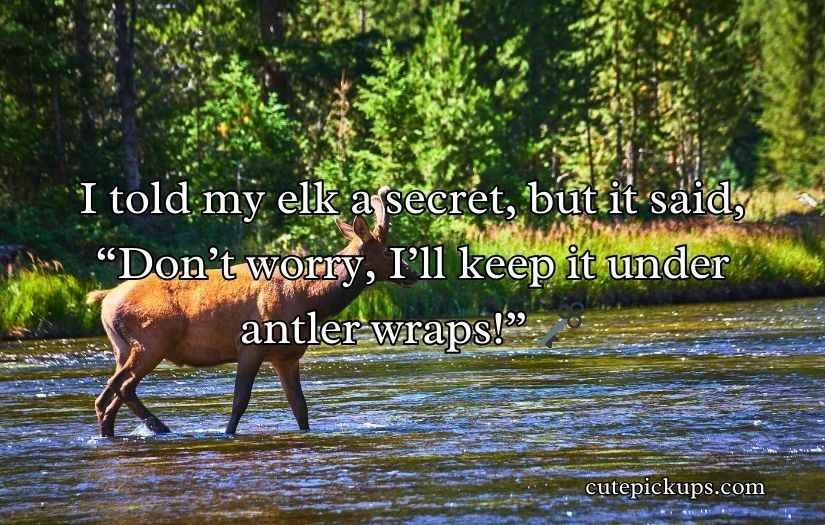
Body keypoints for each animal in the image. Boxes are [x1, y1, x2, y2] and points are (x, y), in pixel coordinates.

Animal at [86, 187, 418, 438]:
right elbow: (240, 400)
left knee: (112, 396)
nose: (413, 273)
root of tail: (106, 299)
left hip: (122, 347)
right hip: (151, 342)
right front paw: (227, 433)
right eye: (388, 250)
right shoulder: (250, 345)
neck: (309, 300)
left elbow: (300, 407)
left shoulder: (287, 355)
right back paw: (157, 427)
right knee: (117, 390)